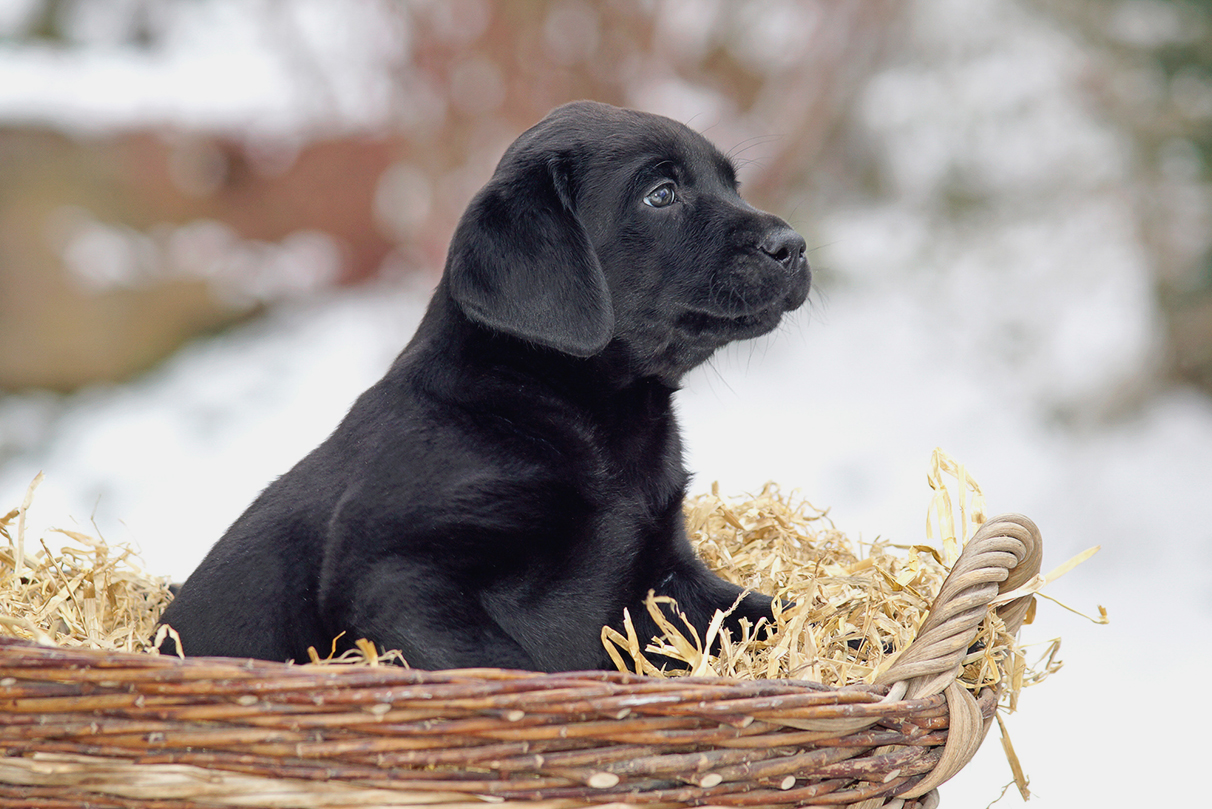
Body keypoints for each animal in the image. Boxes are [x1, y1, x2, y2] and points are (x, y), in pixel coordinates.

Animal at [156, 101, 809, 669]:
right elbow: (507, 664)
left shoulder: (665, 574)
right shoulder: (394, 572)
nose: (795, 245)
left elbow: (762, 610)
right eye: (662, 194)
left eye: (732, 185)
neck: (583, 416)